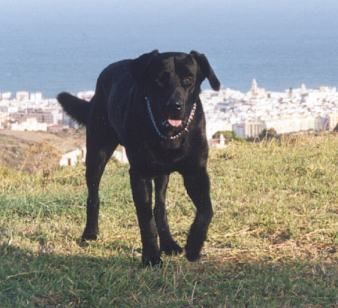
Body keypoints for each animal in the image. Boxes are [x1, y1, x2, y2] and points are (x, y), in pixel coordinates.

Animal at [57, 50, 222, 264]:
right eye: (159, 80)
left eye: (188, 79)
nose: (174, 106)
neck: (169, 135)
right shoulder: (140, 174)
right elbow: (145, 219)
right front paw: (151, 257)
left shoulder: (196, 173)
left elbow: (206, 211)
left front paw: (194, 245)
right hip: (96, 155)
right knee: (93, 195)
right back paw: (90, 233)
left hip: (161, 175)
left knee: (160, 207)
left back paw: (169, 243)